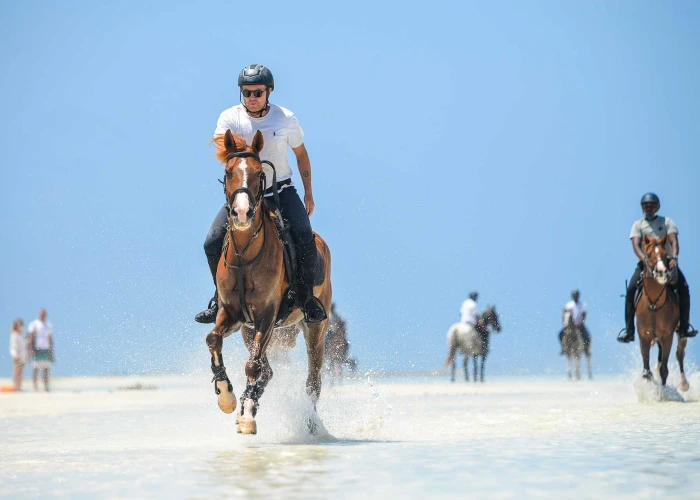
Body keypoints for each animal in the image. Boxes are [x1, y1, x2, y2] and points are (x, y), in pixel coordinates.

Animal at [205, 131, 334, 436]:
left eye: (258, 173)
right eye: (228, 172)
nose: (242, 214)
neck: (244, 253)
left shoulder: (266, 315)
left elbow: (253, 366)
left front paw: (248, 417)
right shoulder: (233, 315)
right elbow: (213, 339)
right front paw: (226, 398)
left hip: (315, 328)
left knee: (313, 382)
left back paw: (310, 425)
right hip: (248, 330)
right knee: (269, 371)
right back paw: (242, 404)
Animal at [636, 234, 688, 390]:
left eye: (666, 255)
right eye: (648, 254)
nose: (661, 272)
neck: (654, 304)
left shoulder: (667, 336)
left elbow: (664, 369)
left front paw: (663, 392)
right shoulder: (644, 337)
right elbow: (646, 371)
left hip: (680, 331)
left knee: (679, 353)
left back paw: (684, 384)